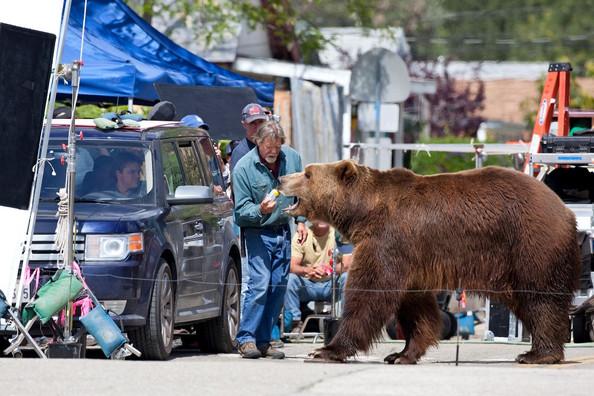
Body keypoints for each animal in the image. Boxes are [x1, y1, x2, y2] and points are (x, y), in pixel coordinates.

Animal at [278, 159, 580, 364]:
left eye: (307, 173)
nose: (281, 177)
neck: (364, 211)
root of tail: (566, 210)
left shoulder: (388, 240)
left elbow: (369, 293)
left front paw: (325, 349)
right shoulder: (412, 261)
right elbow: (416, 307)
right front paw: (401, 354)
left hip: (530, 242)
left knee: (540, 297)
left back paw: (539, 354)